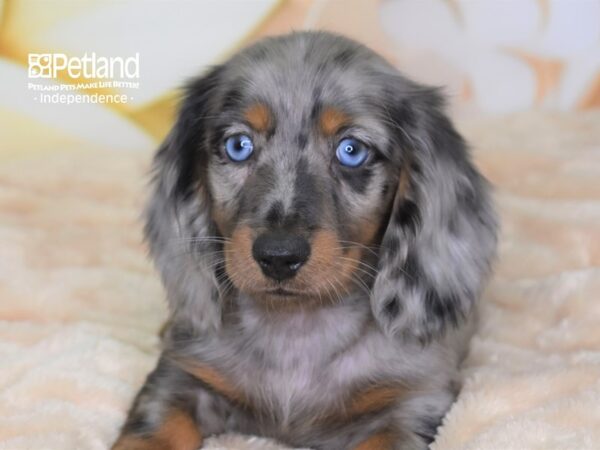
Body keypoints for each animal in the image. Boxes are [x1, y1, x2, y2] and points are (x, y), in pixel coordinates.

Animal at [112, 31, 496, 450]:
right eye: (238, 145)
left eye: (351, 150)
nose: (278, 256)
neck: (296, 329)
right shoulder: (183, 377)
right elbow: (152, 432)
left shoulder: (413, 403)